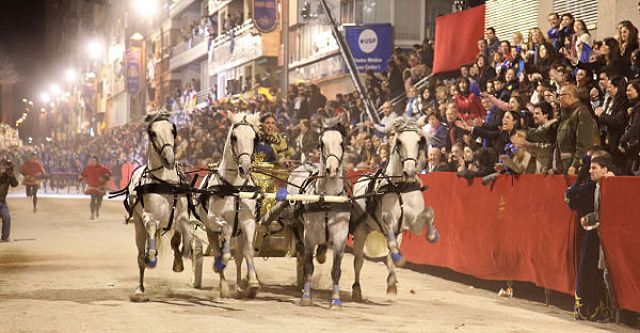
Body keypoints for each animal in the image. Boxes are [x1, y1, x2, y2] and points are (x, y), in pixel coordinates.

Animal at [198, 112, 262, 298]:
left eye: (255, 138)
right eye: (234, 137)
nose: (245, 168)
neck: (235, 188)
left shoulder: (248, 221)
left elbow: (248, 251)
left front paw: (252, 282)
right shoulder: (214, 219)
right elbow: (224, 239)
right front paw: (221, 263)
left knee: (239, 255)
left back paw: (240, 285)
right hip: (209, 228)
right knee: (216, 249)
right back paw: (224, 285)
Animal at [278, 123, 350, 308]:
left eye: (342, 143)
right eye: (321, 144)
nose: (332, 169)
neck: (327, 198)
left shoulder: (340, 236)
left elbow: (336, 270)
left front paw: (336, 300)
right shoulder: (309, 235)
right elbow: (308, 266)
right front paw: (306, 297)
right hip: (295, 222)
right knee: (301, 249)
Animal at [350, 118, 440, 300]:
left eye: (419, 141)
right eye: (399, 142)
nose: (410, 171)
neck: (400, 187)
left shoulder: (413, 224)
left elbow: (429, 213)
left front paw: (433, 235)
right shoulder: (387, 221)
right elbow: (390, 240)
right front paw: (400, 259)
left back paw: (391, 282)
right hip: (361, 230)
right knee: (358, 260)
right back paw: (356, 289)